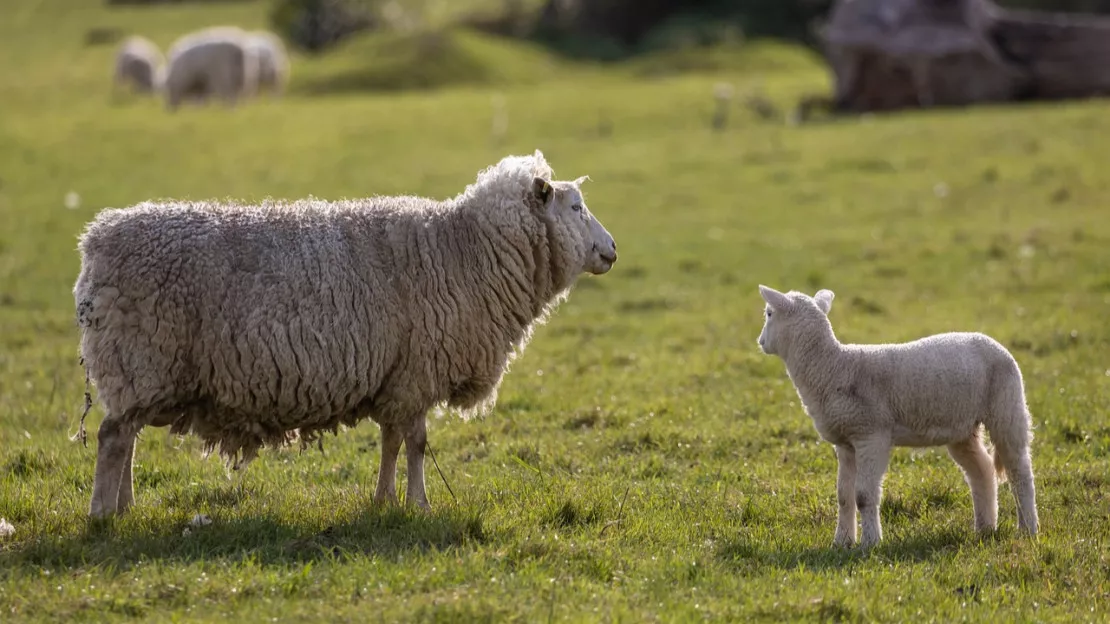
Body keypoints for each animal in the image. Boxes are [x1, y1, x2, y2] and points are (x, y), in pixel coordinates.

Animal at [73, 149, 621, 515]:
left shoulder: (396, 376)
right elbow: (417, 443)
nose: (613, 249)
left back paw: (125, 506)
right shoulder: (418, 371)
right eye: (575, 208)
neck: (464, 251)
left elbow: (391, 441)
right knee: (112, 437)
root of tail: (96, 240)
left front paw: (383, 500)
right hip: (139, 358)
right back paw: (102, 514)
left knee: (127, 437)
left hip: (139, 371)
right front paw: (419, 504)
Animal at [754, 284, 1038, 546]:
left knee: (1019, 471)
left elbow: (863, 496)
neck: (833, 367)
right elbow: (844, 496)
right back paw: (985, 528)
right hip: (962, 427)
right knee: (982, 470)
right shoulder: (846, 442)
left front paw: (870, 543)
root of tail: (995, 343)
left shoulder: (871, 435)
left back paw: (1028, 529)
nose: (760, 342)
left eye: (769, 313)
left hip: (1006, 407)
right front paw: (841, 543)